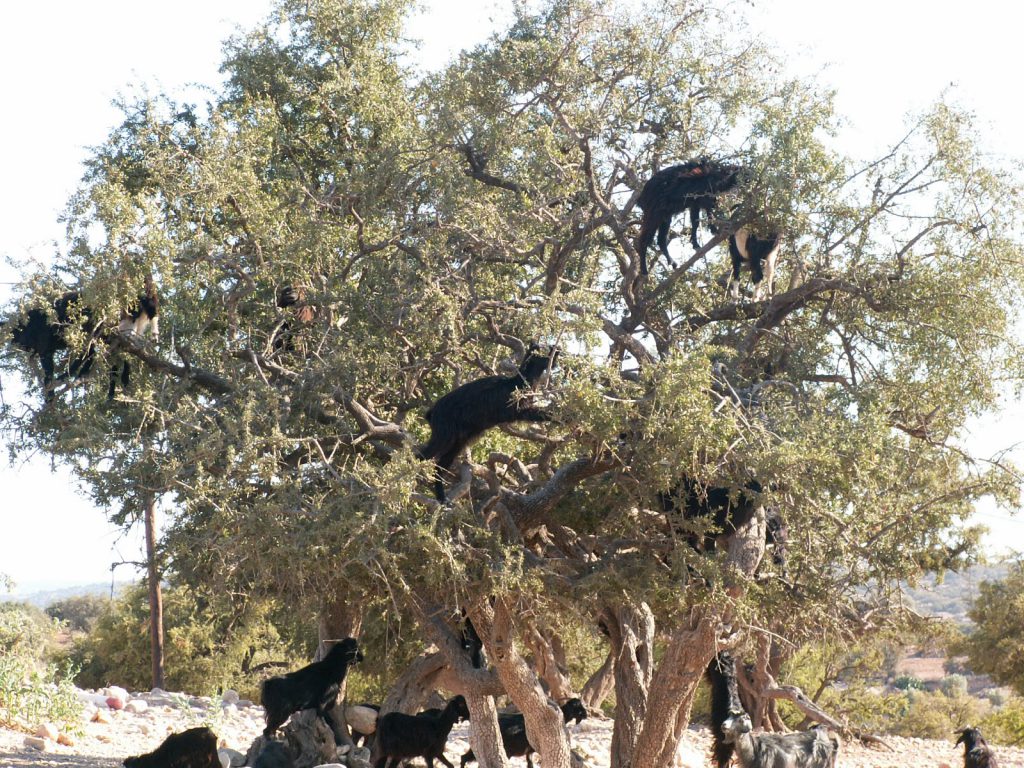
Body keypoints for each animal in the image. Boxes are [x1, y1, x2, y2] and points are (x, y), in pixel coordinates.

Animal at [418, 345, 557, 501]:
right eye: (541, 356)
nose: (555, 354)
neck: (516, 383)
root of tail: (432, 412)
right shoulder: (517, 411)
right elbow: (541, 414)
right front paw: (561, 417)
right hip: (443, 435)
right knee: (420, 455)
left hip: (457, 442)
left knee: (439, 466)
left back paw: (442, 498)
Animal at [459, 698, 588, 768]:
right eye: (578, 706)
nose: (586, 714)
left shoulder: (529, 751)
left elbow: (530, 764)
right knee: (466, 758)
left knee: (465, 757)